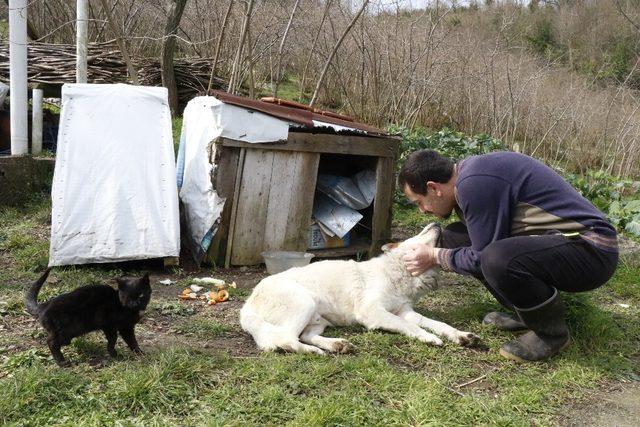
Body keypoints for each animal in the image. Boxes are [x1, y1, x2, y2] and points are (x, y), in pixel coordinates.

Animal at [24, 270, 152, 366]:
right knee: (51, 342)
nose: (135, 303)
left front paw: (132, 353)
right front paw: (120, 354)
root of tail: (44, 305)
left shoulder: (118, 327)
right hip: (66, 330)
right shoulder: (114, 326)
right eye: (128, 296)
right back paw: (62, 362)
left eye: (140, 294)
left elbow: (124, 340)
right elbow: (120, 340)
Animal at [240, 222, 480, 356]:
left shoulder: (406, 312)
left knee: (305, 336)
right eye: (417, 235)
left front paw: (461, 336)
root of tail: (247, 305)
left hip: (318, 320)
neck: (397, 273)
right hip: (304, 303)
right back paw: (315, 352)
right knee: (283, 340)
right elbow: (409, 326)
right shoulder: (372, 312)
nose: (435, 222)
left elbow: (437, 324)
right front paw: (429, 338)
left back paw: (337, 345)